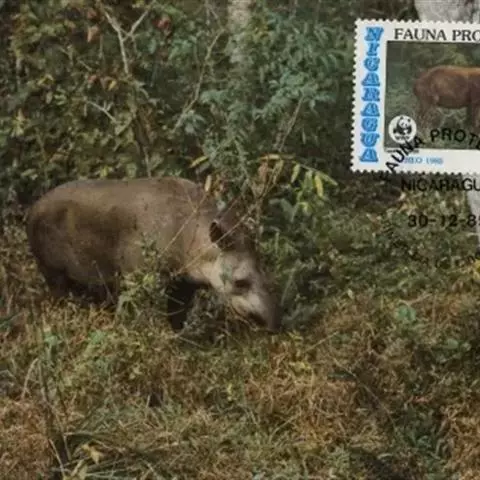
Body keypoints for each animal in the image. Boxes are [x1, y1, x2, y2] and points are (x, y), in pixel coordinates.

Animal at [26, 176, 281, 332]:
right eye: (240, 281)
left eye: (267, 273)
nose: (273, 323)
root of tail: (31, 212)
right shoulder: (137, 276)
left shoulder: (182, 283)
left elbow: (177, 318)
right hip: (52, 270)